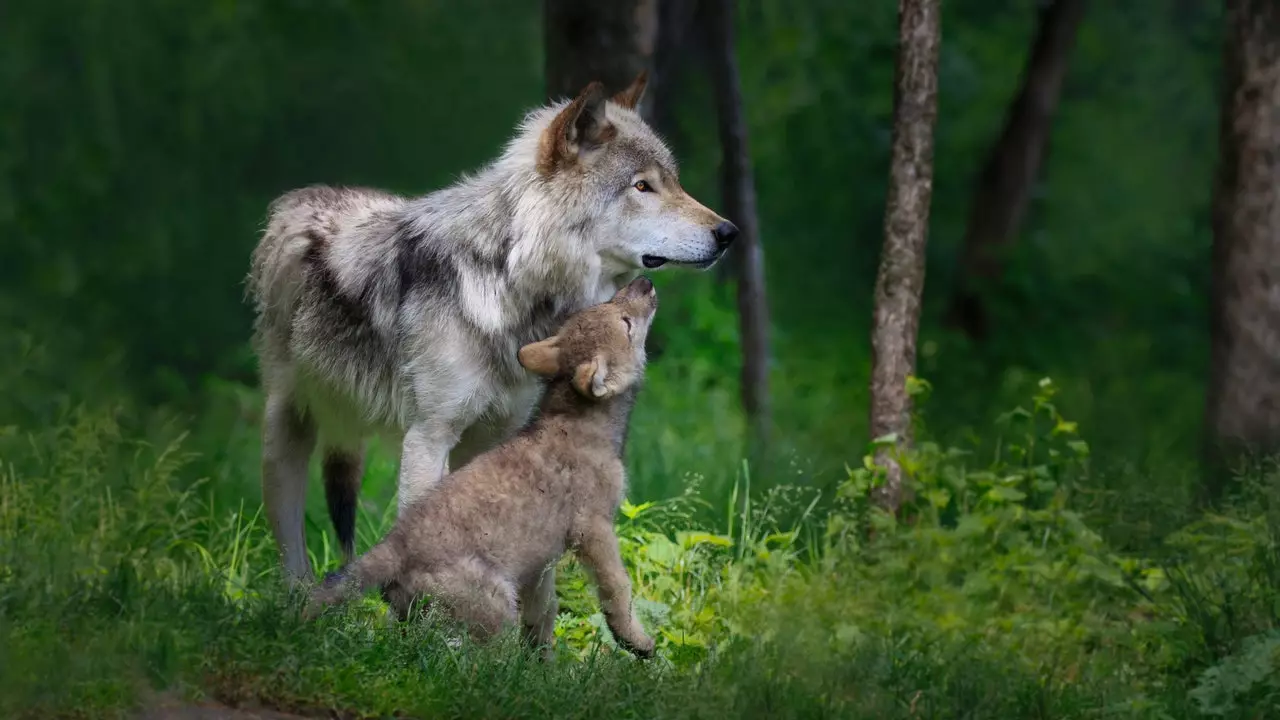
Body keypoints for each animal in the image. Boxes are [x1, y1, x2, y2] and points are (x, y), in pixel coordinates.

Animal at [245, 71, 742, 609]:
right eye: (642, 186)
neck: (509, 281)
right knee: (290, 538)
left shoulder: (498, 438)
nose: (729, 232)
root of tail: (301, 198)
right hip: (286, 434)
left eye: (673, 181)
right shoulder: (429, 437)